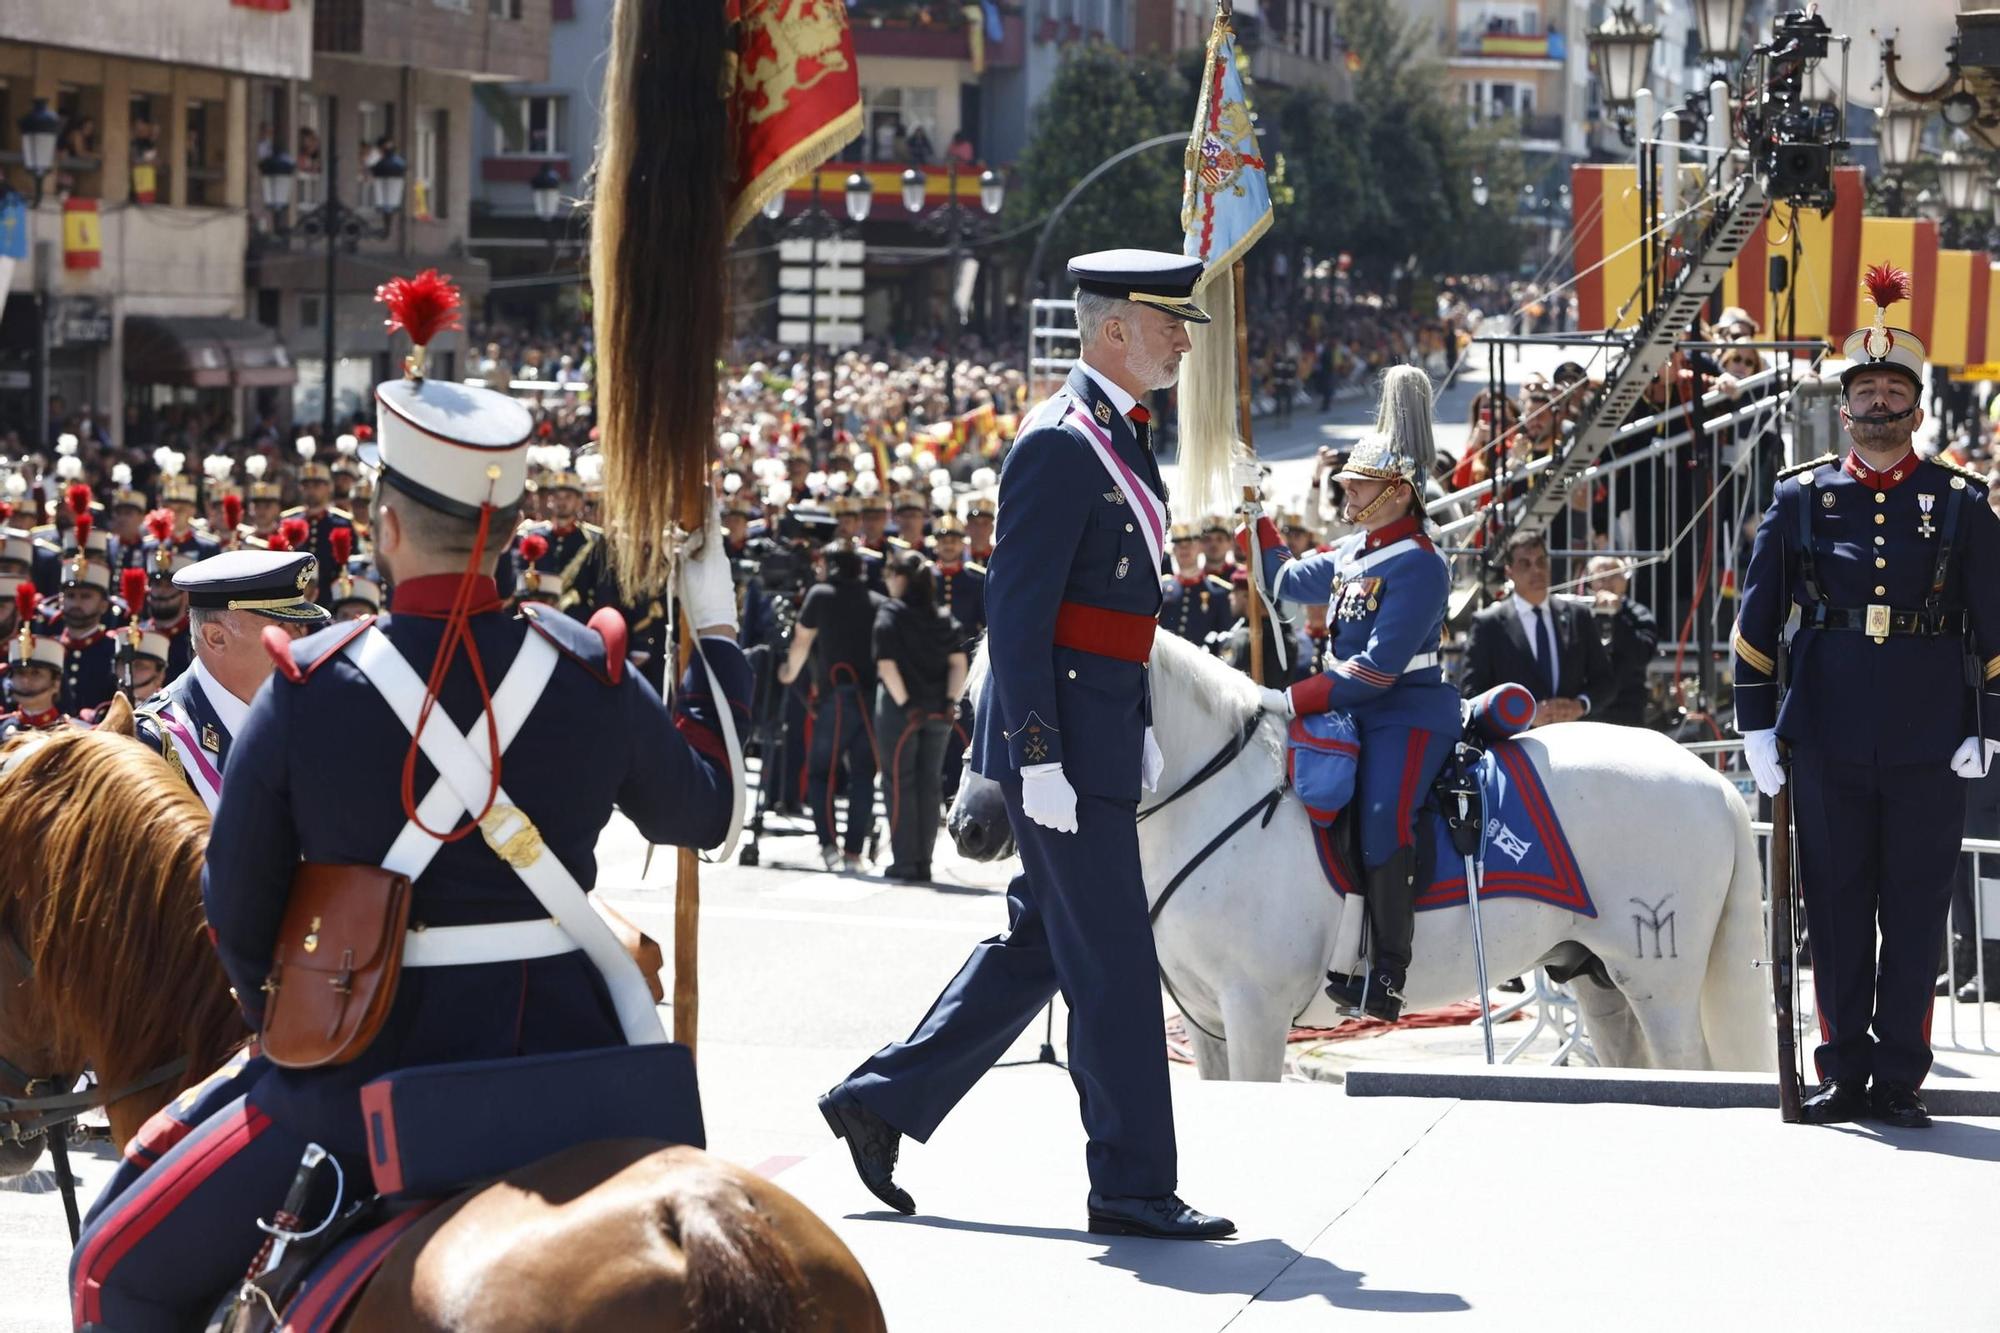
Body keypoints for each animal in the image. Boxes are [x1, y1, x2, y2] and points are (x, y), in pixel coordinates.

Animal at [944, 632, 1776, 1080]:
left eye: (1033, 711)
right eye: (967, 706)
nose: (969, 827)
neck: (1205, 794)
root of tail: (1711, 777)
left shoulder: (1255, 1013)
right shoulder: (1207, 1023)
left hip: (1660, 981)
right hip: (1596, 975)